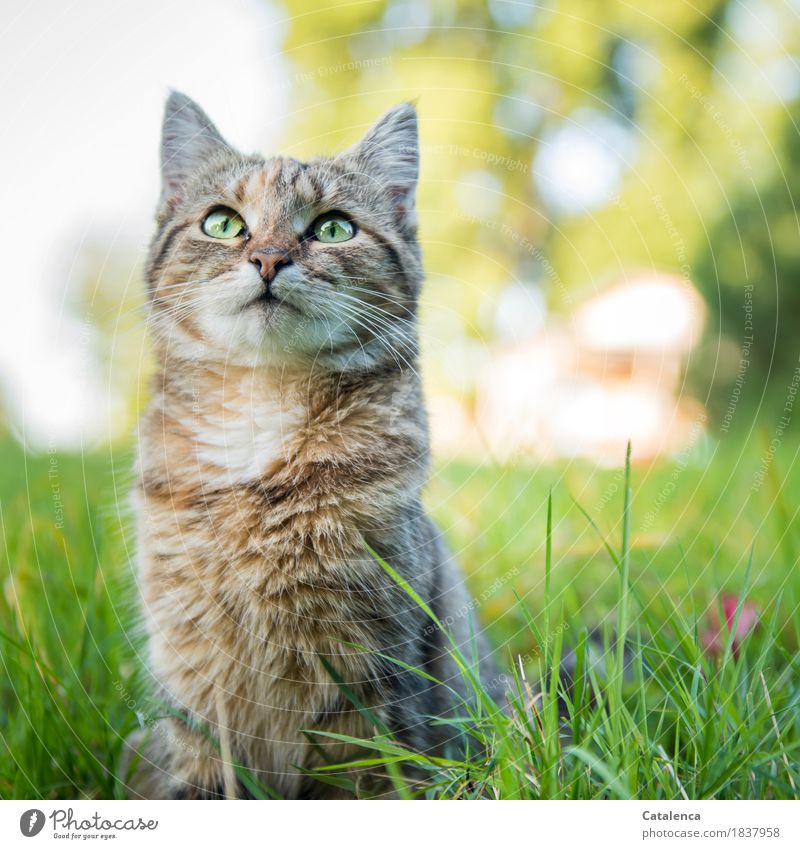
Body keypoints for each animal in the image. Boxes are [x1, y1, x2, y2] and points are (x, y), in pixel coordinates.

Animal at [123, 93, 500, 800]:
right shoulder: (192, 678)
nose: (269, 259)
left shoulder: (365, 675)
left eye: (332, 229)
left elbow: (352, 774)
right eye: (223, 223)